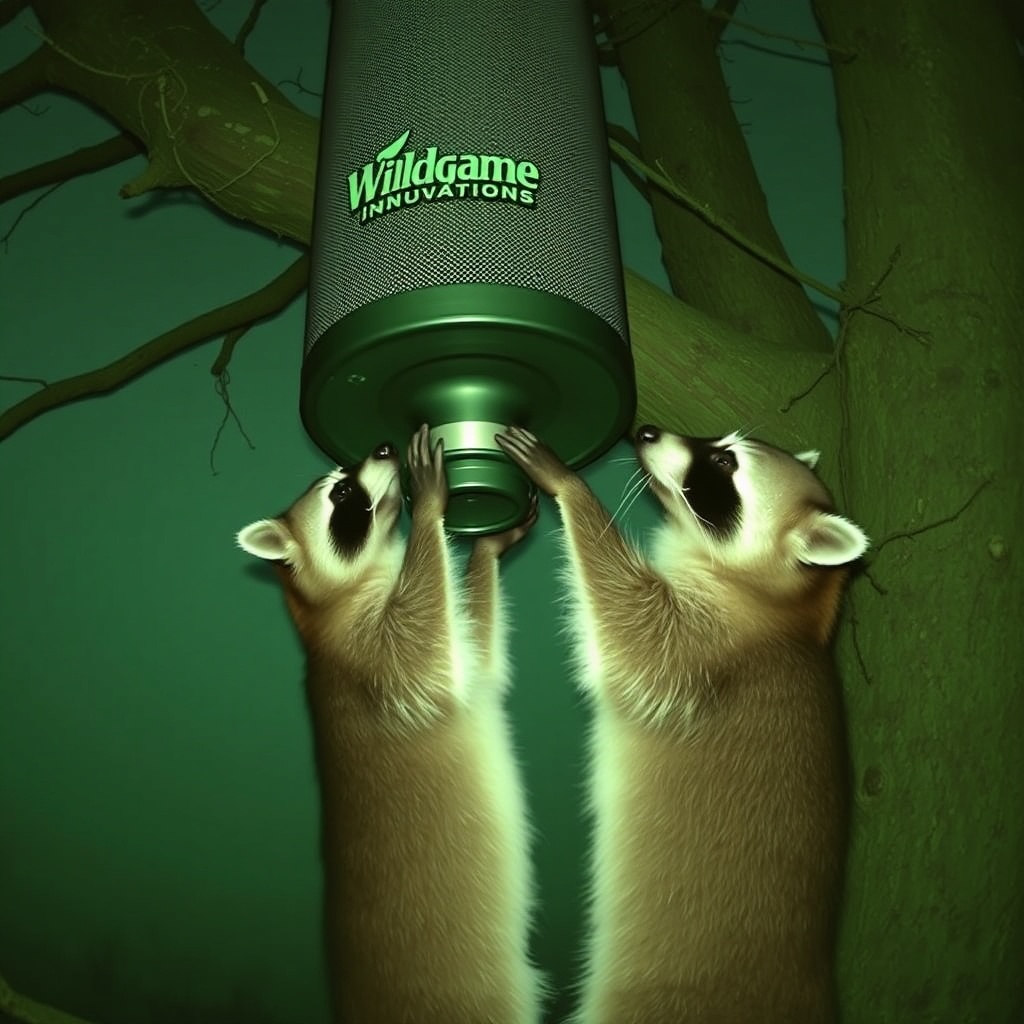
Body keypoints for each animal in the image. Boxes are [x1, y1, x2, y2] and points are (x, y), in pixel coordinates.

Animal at [237, 425, 544, 1024]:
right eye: (339, 493)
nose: (383, 449)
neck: (324, 607)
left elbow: (476, 660)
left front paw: (487, 545)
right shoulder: (371, 660)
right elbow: (429, 646)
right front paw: (429, 502)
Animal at [495, 423, 868, 1024]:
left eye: (724, 464)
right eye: (719, 444)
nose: (645, 431)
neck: (789, 609)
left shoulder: (705, 654)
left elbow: (631, 629)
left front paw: (568, 485)